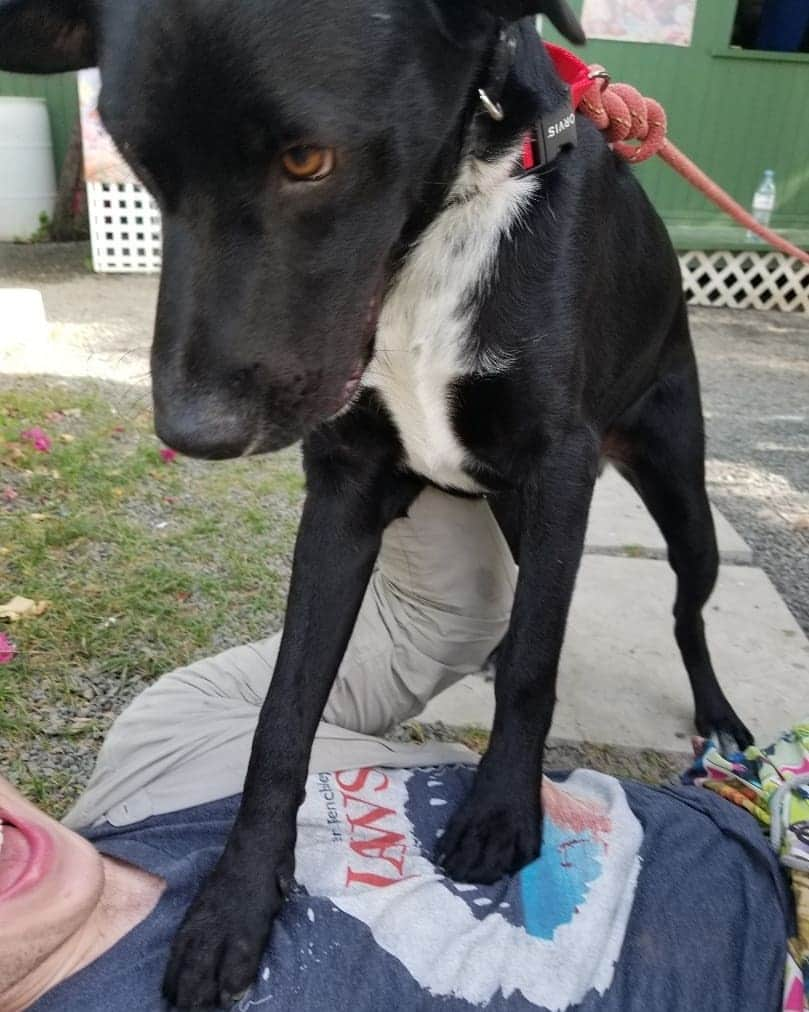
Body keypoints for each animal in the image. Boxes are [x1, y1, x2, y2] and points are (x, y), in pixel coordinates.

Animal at [3, 1, 757, 1003]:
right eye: (139, 167)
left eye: (308, 161)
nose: (194, 432)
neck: (441, 223)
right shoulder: (347, 487)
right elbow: (284, 710)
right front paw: (235, 902)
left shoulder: (560, 468)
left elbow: (535, 668)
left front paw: (501, 811)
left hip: (683, 500)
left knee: (682, 612)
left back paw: (717, 716)